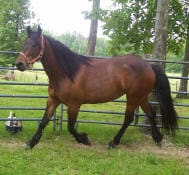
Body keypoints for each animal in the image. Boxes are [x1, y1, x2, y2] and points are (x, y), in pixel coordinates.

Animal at [14, 26, 177, 149]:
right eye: (24, 43)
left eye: (35, 45)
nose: (19, 64)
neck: (67, 73)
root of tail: (149, 66)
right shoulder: (53, 100)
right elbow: (43, 121)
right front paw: (31, 143)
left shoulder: (74, 104)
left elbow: (71, 127)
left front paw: (84, 139)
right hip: (141, 97)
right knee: (151, 114)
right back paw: (158, 138)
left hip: (133, 97)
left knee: (129, 118)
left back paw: (113, 142)